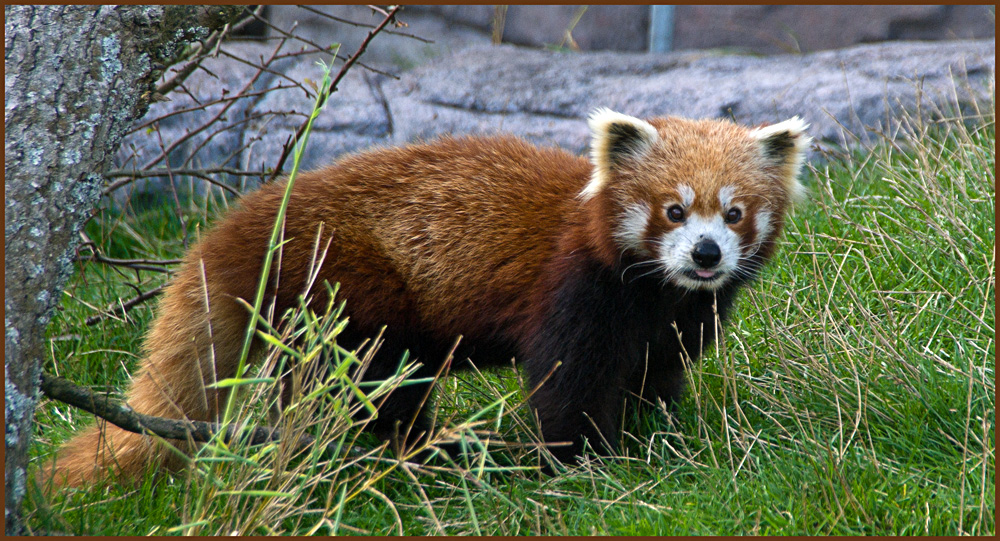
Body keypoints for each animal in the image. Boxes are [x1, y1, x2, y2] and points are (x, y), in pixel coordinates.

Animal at [48, 108, 812, 486]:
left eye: (734, 214)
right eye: (674, 211)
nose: (706, 254)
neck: (660, 292)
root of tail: (239, 225)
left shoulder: (677, 319)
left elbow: (657, 373)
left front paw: (657, 437)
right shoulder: (575, 291)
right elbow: (566, 382)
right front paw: (579, 463)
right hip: (348, 285)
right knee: (367, 380)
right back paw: (412, 452)